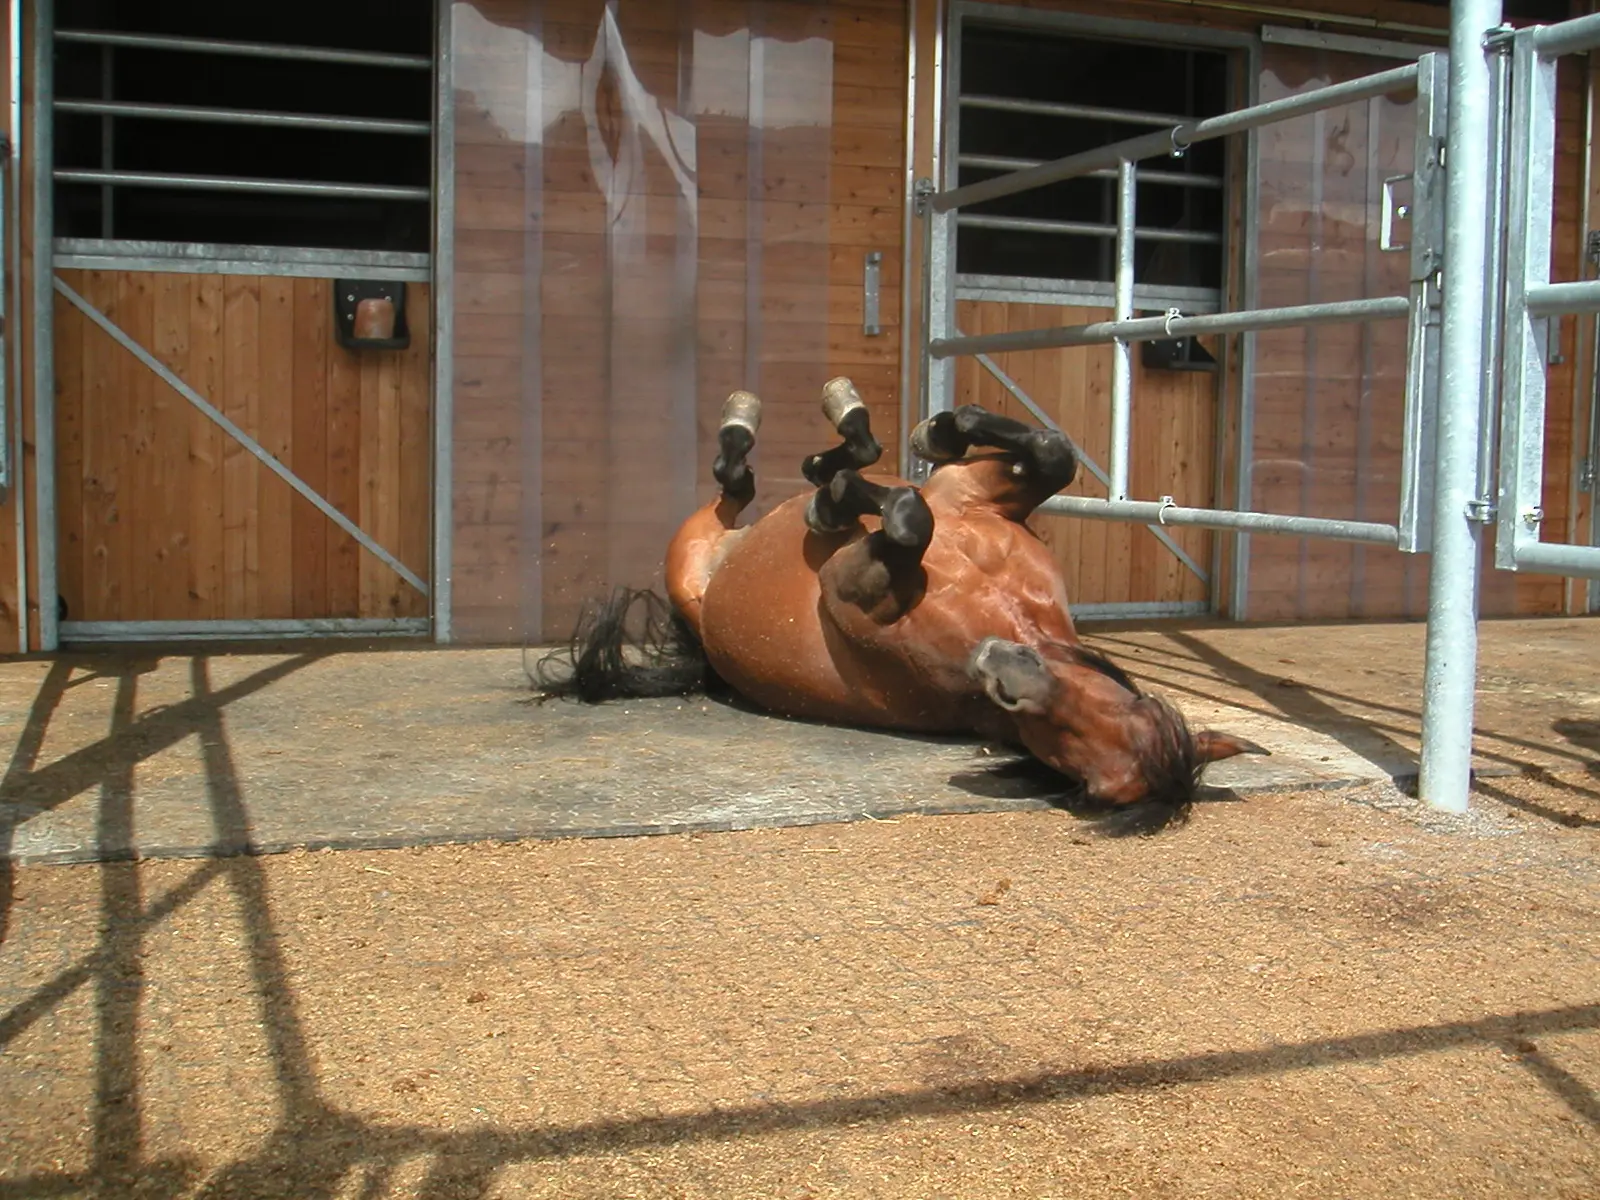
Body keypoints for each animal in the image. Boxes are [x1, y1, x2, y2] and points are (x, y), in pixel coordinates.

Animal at [537, 378, 1267, 832]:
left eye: (1083, 782)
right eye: (1134, 710)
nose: (1001, 672)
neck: (1008, 616)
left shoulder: (849, 582)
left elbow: (910, 518)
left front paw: (839, 497)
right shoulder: (974, 495)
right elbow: (1047, 453)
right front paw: (934, 433)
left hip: (690, 553)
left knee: (736, 483)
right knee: (754, 478)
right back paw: (824, 439)